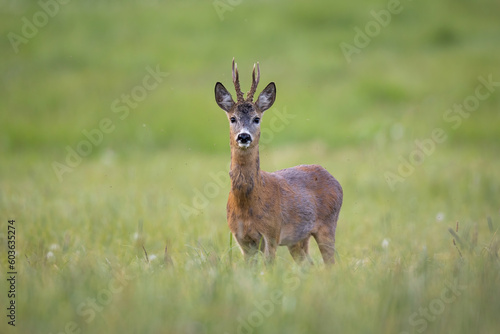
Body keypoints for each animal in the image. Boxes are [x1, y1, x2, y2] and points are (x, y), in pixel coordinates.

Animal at [213, 58, 342, 264]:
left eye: (256, 118)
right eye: (232, 118)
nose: (243, 136)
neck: (246, 203)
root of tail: (334, 180)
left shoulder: (271, 233)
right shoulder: (241, 239)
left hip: (328, 225)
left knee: (330, 263)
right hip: (298, 239)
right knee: (308, 263)